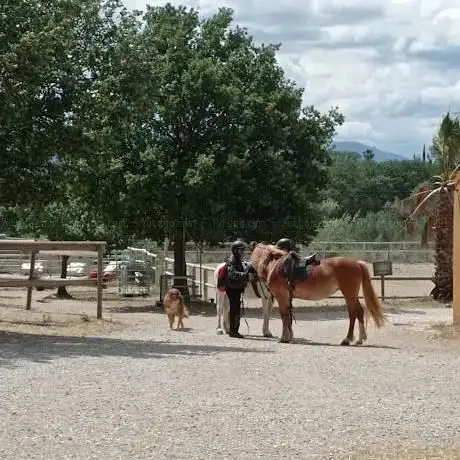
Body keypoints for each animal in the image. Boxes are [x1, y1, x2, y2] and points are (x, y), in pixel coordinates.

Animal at [250, 243, 386, 344]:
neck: (276, 265)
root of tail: (357, 263)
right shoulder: (287, 297)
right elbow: (288, 316)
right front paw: (290, 336)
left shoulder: (281, 297)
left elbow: (284, 316)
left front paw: (284, 338)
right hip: (352, 295)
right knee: (359, 312)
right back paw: (360, 339)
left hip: (349, 295)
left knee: (353, 314)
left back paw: (347, 339)